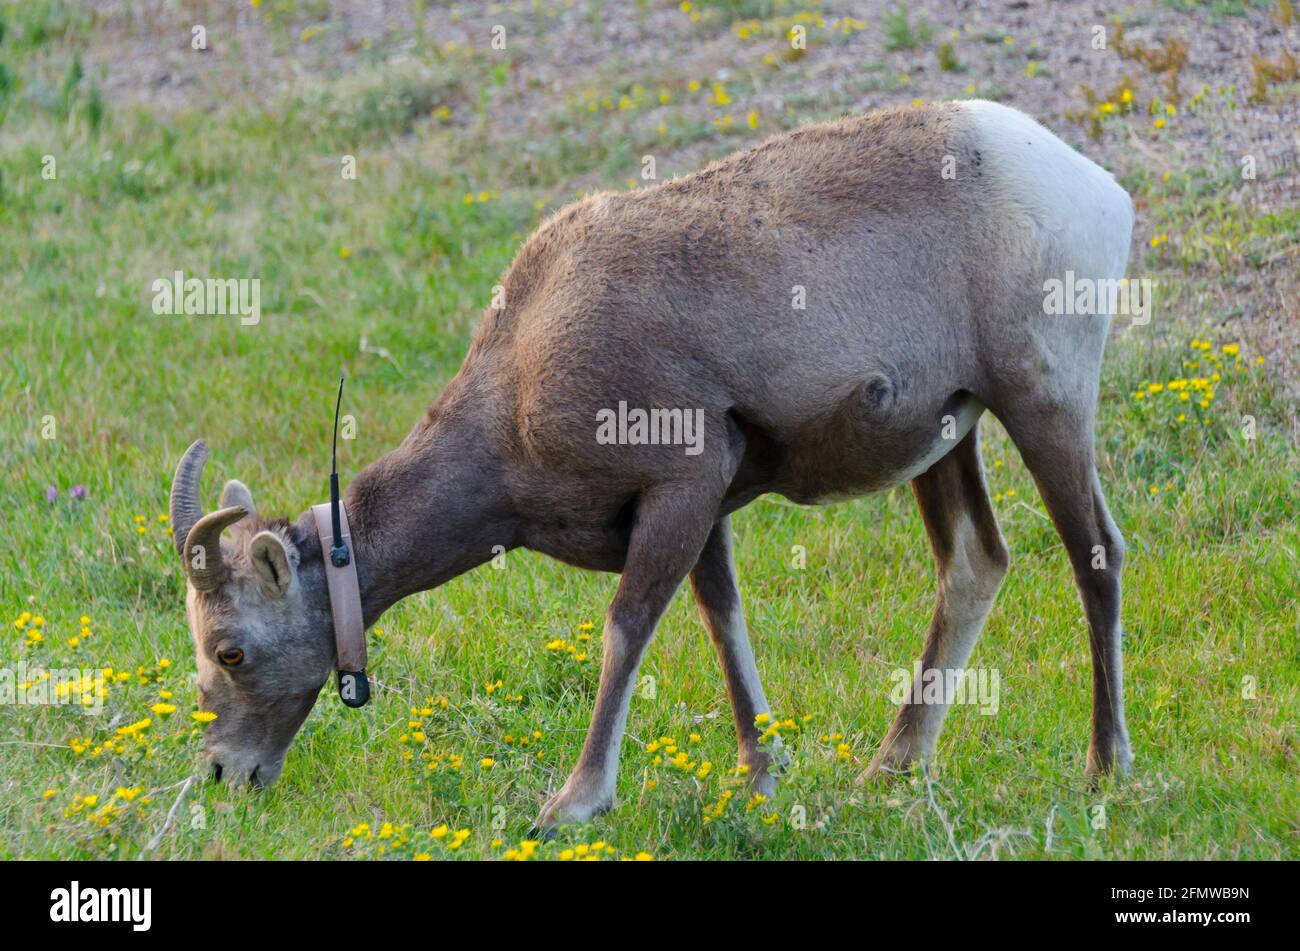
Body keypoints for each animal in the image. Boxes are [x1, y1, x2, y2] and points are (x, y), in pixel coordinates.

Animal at [170, 101, 1128, 826]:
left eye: (231, 650)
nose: (224, 776)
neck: (522, 376)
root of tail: (1097, 190)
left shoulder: (680, 486)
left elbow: (626, 629)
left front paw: (572, 803)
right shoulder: (700, 509)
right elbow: (722, 622)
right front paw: (761, 777)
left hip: (1042, 403)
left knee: (1097, 558)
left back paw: (1104, 769)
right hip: (951, 432)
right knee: (974, 563)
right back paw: (889, 770)